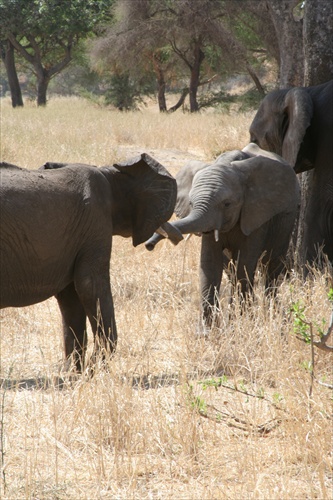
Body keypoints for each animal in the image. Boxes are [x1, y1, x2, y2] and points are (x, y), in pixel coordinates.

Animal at [0, 152, 180, 372]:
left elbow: (70, 296)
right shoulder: (95, 221)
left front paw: (73, 373)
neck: (108, 171)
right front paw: (92, 370)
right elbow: (89, 285)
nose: (176, 238)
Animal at [144, 143, 300, 326]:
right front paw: (209, 330)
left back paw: (272, 313)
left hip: (287, 219)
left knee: (272, 266)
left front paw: (243, 324)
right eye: (191, 203)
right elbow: (210, 264)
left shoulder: (256, 214)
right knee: (232, 272)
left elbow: (245, 264)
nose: (149, 245)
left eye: (227, 204)